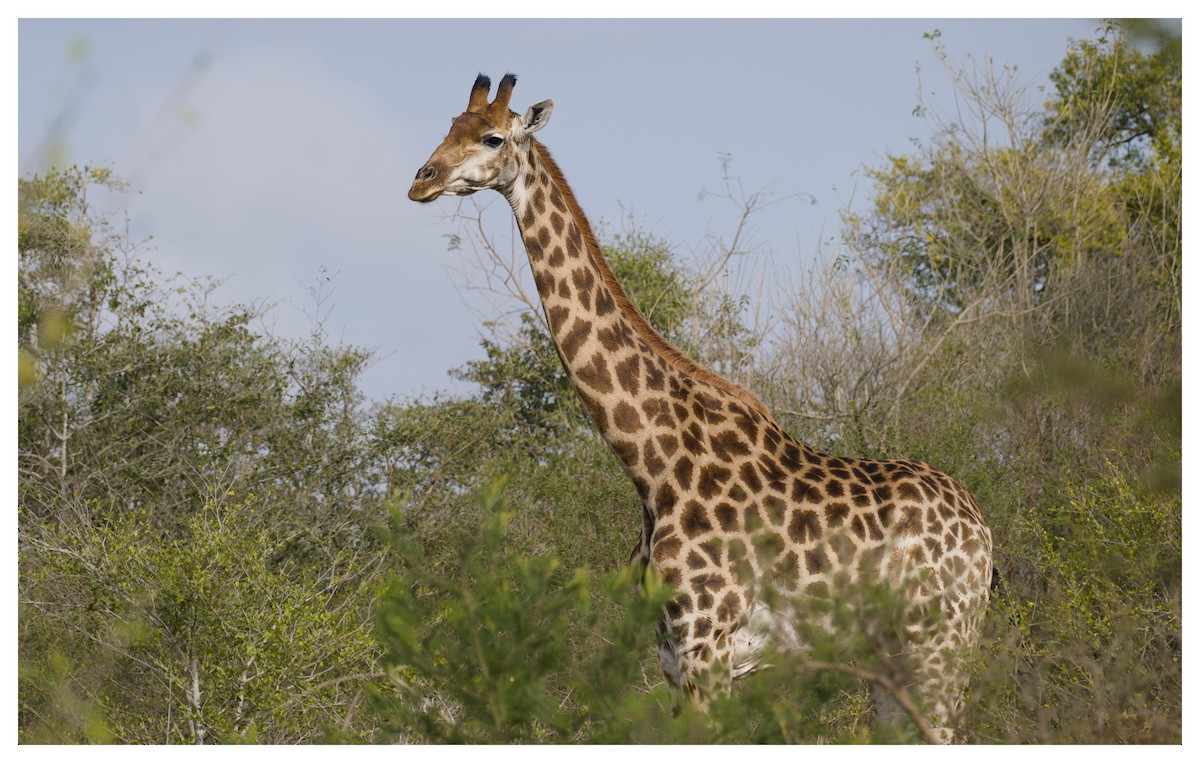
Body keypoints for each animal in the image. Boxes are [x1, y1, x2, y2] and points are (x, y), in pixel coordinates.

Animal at [407, 73, 993, 743]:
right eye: (450, 125)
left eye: (492, 137)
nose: (421, 180)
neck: (650, 462)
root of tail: (982, 529)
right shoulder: (669, 653)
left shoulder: (708, 644)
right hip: (892, 657)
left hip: (941, 641)